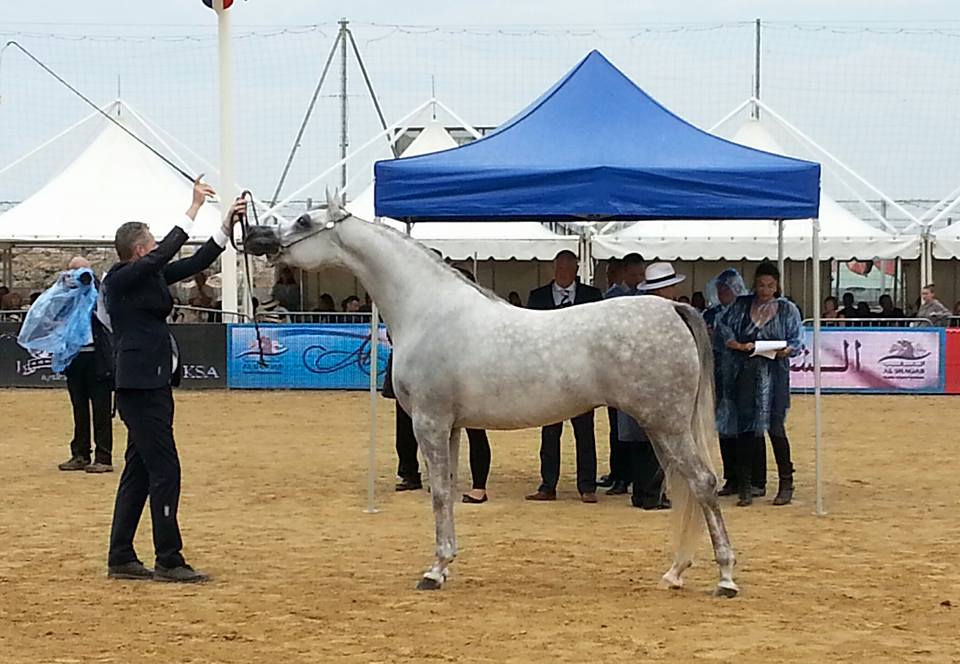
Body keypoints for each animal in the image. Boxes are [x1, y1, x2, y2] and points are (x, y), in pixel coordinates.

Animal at [244, 192, 739, 597]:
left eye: (304, 220)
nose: (254, 236)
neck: (429, 310)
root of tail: (671, 308)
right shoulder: (450, 426)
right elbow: (446, 489)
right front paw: (445, 565)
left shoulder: (429, 421)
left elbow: (439, 494)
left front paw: (433, 572)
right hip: (662, 427)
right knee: (687, 488)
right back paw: (675, 572)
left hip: (667, 424)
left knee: (702, 483)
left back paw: (725, 578)